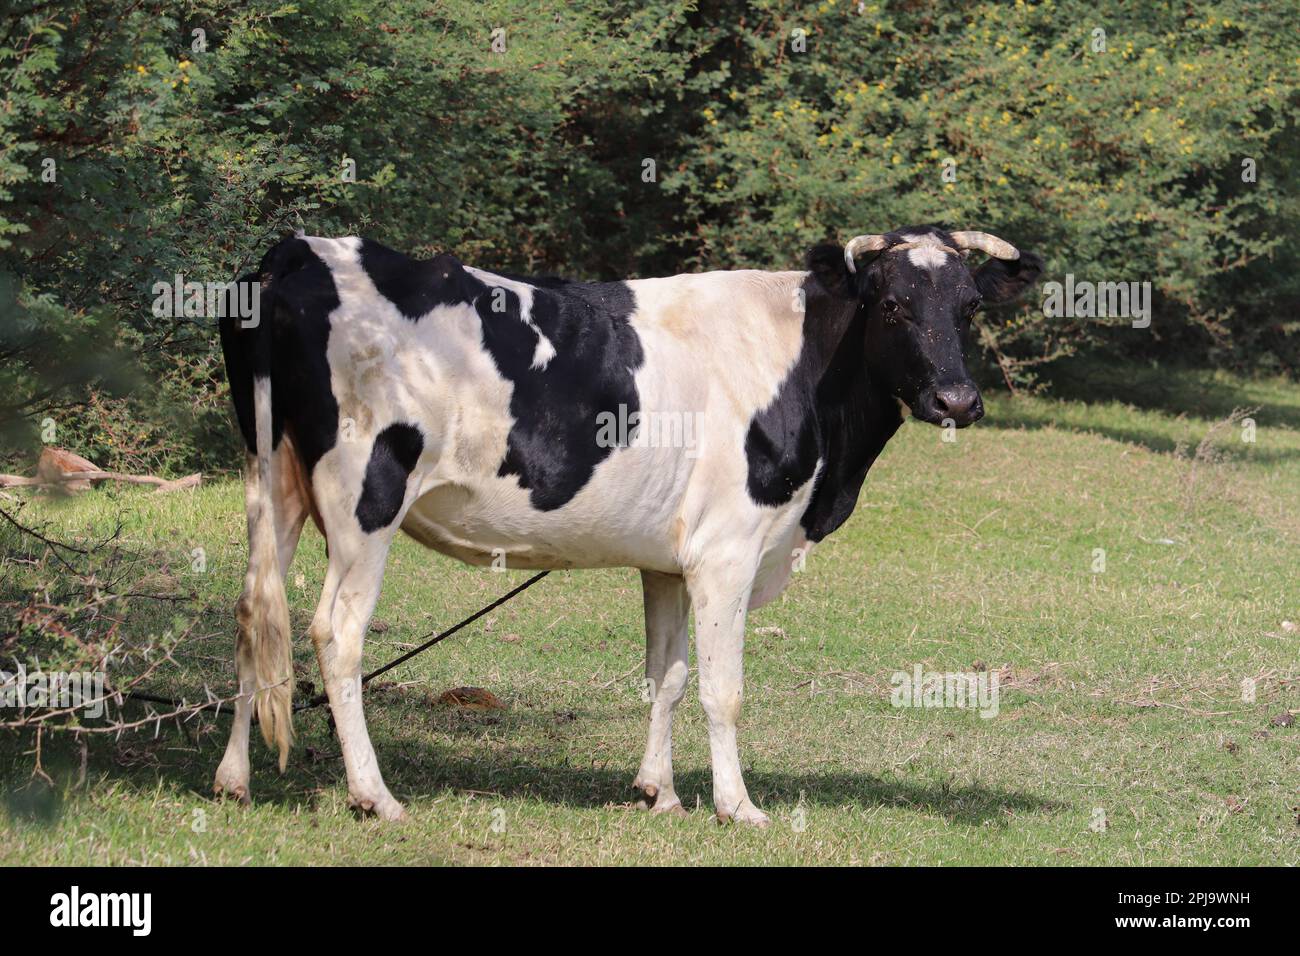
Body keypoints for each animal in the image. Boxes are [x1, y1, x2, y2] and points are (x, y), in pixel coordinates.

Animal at [214, 224, 1043, 825]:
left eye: (969, 308)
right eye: (894, 304)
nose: (958, 400)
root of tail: (302, 250)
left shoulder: (669, 560)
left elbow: (666, 678)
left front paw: (659, 793)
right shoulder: (728, 550)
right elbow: (722, 689)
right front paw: (738, 807)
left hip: (271, 481)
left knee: (255, 613)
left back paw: (234, 780)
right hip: (366, 495)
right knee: (334, 633)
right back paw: (374, 796)